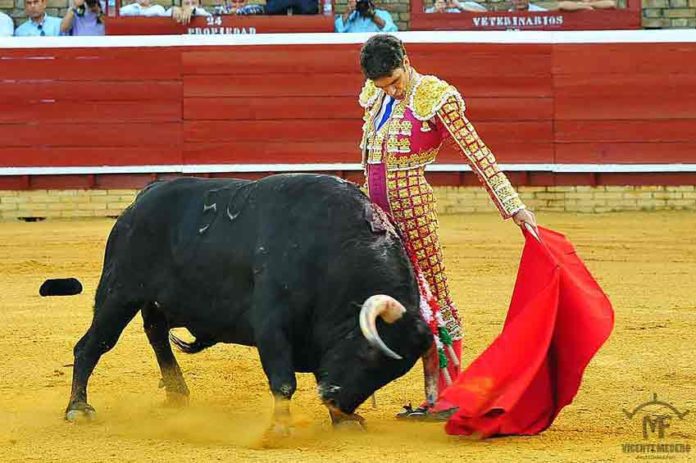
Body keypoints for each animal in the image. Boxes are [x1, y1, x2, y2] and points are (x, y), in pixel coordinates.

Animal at [66, 175, 436, 432]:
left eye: (390, 374)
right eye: (367, 354)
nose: (335, 399)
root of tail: (144, 196)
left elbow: (318, 369)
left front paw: (343, 420)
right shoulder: (272, 323)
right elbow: (283, 380)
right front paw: (281, 428)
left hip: (152, 301)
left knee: (156, 335)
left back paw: (177, 393)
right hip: (119, 292)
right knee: (92, 345)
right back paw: (78, 409)